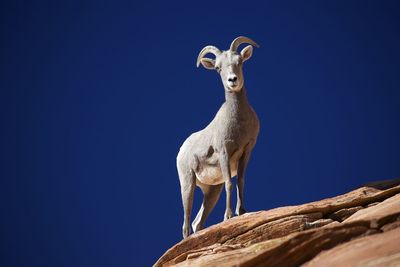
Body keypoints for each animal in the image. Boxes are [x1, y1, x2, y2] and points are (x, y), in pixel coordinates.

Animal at [177, 36, 260, 240]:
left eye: (240, 61)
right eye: (217, 68)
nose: (233, 80)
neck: (238, 122)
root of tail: (181, 150)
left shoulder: (246, 152)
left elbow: (240, 181)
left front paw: (242, 211)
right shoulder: (224, 152)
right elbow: (230, 183)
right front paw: (228, 216)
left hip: (211, 191)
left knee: (197, 222)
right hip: (188, 184)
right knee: (186, 223)